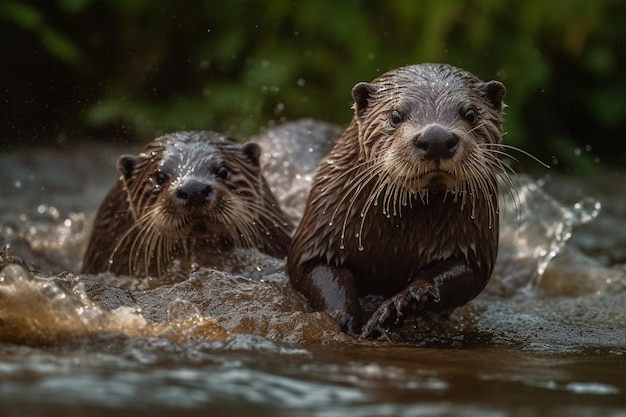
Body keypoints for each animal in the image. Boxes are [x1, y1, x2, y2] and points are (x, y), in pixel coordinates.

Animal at [286, 63, 504, 336]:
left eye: (471, 113)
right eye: (396, 116)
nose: (436, 138)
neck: (398, 243)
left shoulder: (473, 247)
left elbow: (464, 274)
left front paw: (401, 303)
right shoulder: (320, 229)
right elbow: (313, 269)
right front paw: (342, 320)